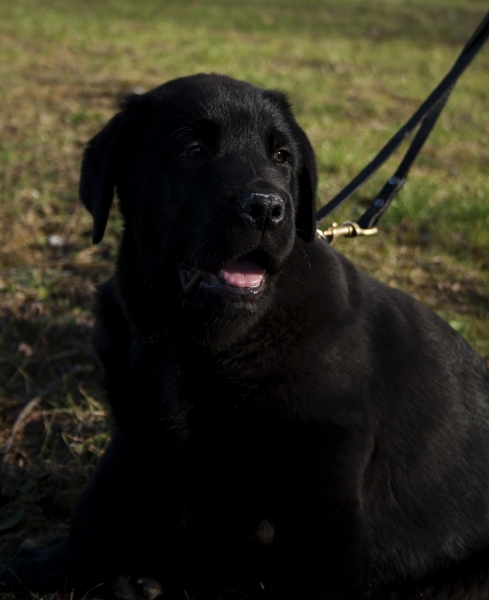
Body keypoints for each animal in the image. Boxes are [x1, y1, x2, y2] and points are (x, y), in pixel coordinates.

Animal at [2, 75, 488, 600]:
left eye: (282, 157)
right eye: (193, 150)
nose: (268, 208)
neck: (188, 342)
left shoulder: (320, 473)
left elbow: (308, 572)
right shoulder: (138, 433)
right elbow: (100, 512)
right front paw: (45, 567)